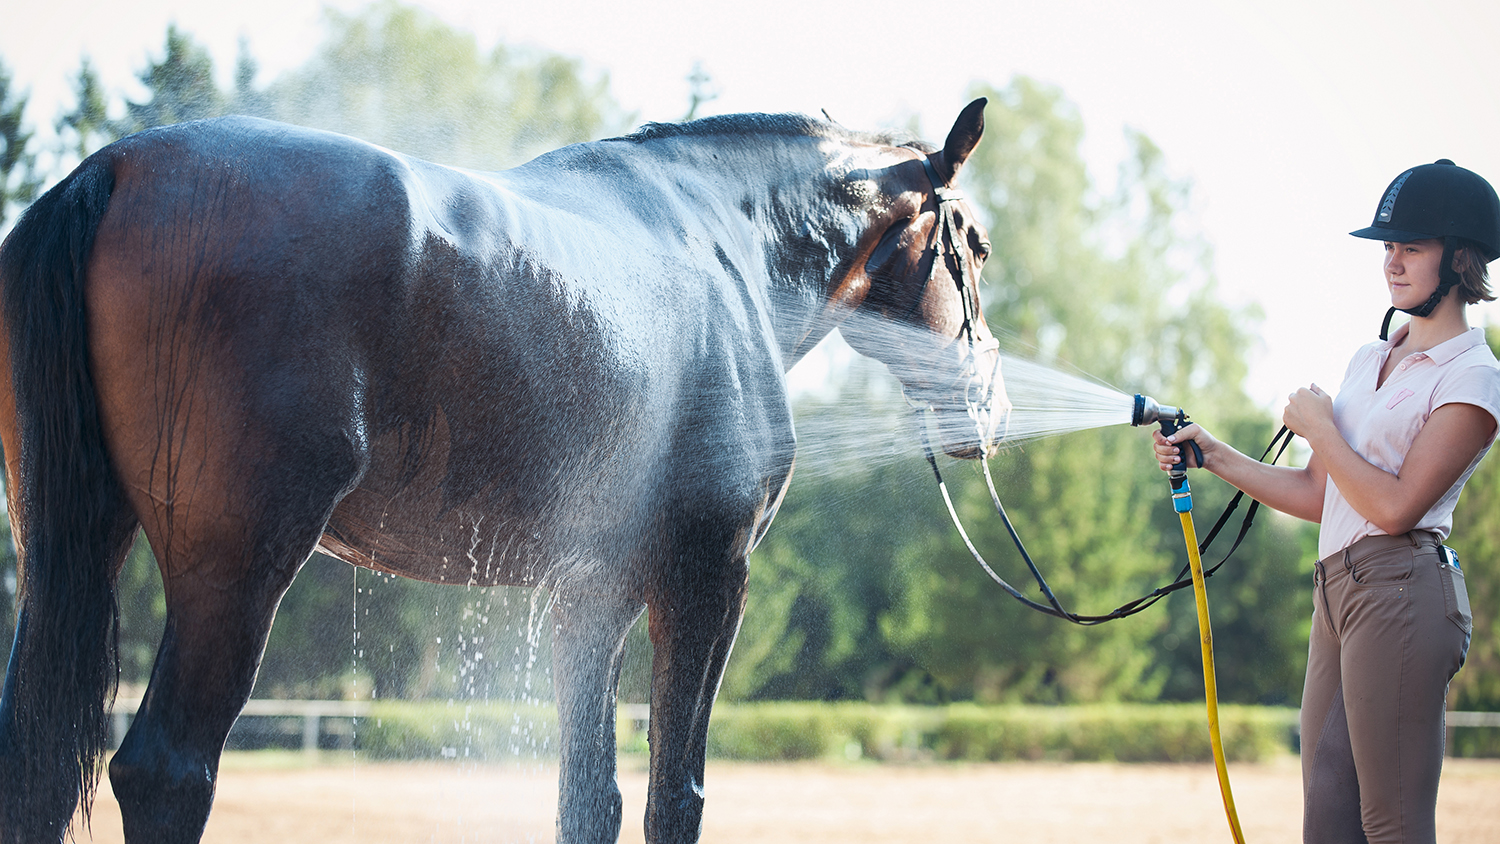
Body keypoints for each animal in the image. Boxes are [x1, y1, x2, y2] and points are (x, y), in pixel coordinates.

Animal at [0, 98, 1005, 843]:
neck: (727, 248)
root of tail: (115, 170)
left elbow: (589, 799)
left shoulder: (593, 590)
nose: (990, 404)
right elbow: (673, 795)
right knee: (166, 771)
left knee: (38, 759)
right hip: (235, 570)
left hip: (66, 551)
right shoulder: (708, 576)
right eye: (978, 245)